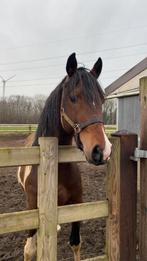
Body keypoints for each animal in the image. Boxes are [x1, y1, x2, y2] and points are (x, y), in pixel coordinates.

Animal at [17, 53, 111, 260]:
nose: (102, 150)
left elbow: (75, 243)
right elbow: (30, 250)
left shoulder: (77, 204)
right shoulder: (32, 209)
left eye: (103, 99)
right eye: (73, 97)